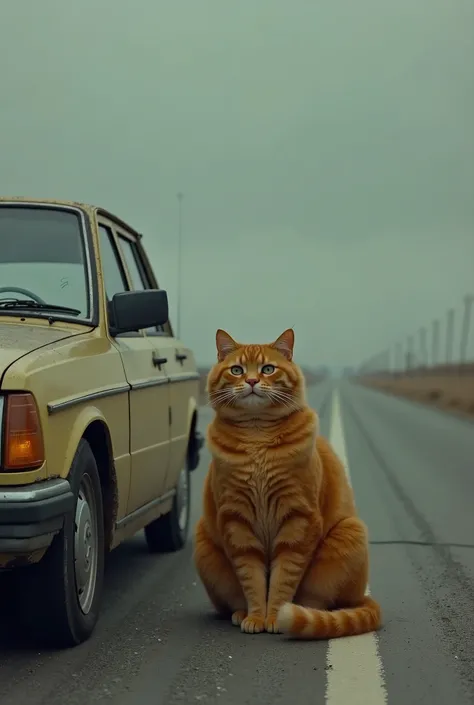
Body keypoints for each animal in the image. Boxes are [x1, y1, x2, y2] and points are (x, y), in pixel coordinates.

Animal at [193, 328, 382, 636]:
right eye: (237, 370)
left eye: (268, 369)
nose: (252, 380)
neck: (257, 436)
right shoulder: (237, 522)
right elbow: (252, 580)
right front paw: (256, 617)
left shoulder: (298, 519)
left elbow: (283, 579)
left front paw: (275, 617)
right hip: (204, 545)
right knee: (233, 599)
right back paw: (241, 613)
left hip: (349, 532)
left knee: (323, 603)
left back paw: (306, 612)